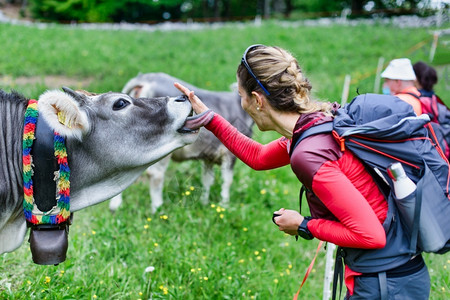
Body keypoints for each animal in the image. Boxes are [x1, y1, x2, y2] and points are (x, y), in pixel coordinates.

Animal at [109, 72, 253, 213]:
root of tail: (146, 77)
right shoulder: (229, 155)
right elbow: (227, 181)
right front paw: (225, 205)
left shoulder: (208, 156)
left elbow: (207, 180)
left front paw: (204, 203)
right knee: (155, 175)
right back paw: (158, 208)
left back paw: (115, 206)